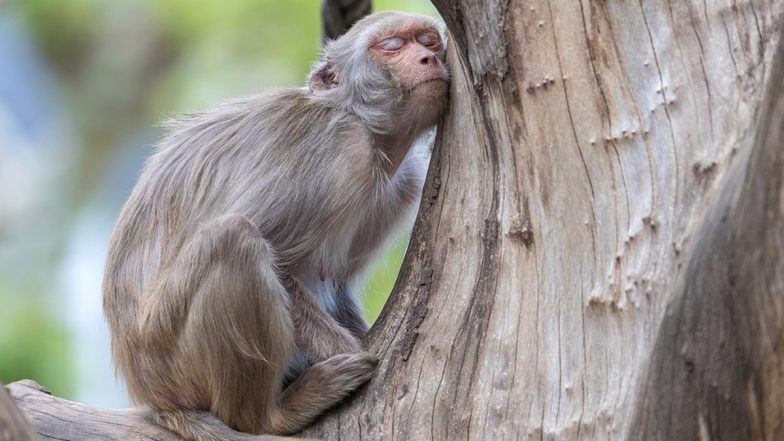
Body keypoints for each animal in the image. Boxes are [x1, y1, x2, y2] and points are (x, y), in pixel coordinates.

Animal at [102, 10, 448, 440]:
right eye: (393, 46)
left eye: (429, 41)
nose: (428, 58)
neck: (365, 127)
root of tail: (152, 397)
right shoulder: (336, 150)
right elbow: (278, 259)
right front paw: (352, 351)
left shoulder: (403, 183)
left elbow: (336, 281)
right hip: (171, 354)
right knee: (234, 239)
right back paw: (272, 415)